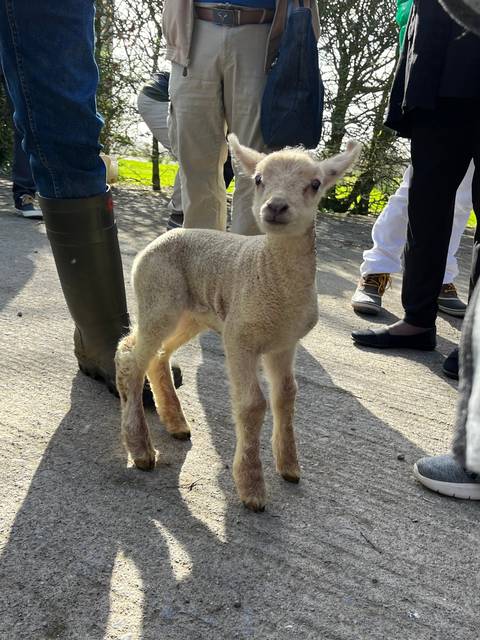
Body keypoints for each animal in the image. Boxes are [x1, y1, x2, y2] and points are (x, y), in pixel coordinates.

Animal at [115, 135, 361, 512]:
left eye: (315, 184)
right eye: (259, 179)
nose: (276, 207)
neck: (271, 278)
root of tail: (155, 242)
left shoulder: (284, 342)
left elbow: (287, 395)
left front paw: (289, 467)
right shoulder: (239, 337)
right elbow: (253, 404)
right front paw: (251, 487)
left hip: (192, 313)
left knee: (157, 356)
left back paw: (176, 424)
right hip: (159, 296)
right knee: (131, 358)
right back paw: (141, 450)